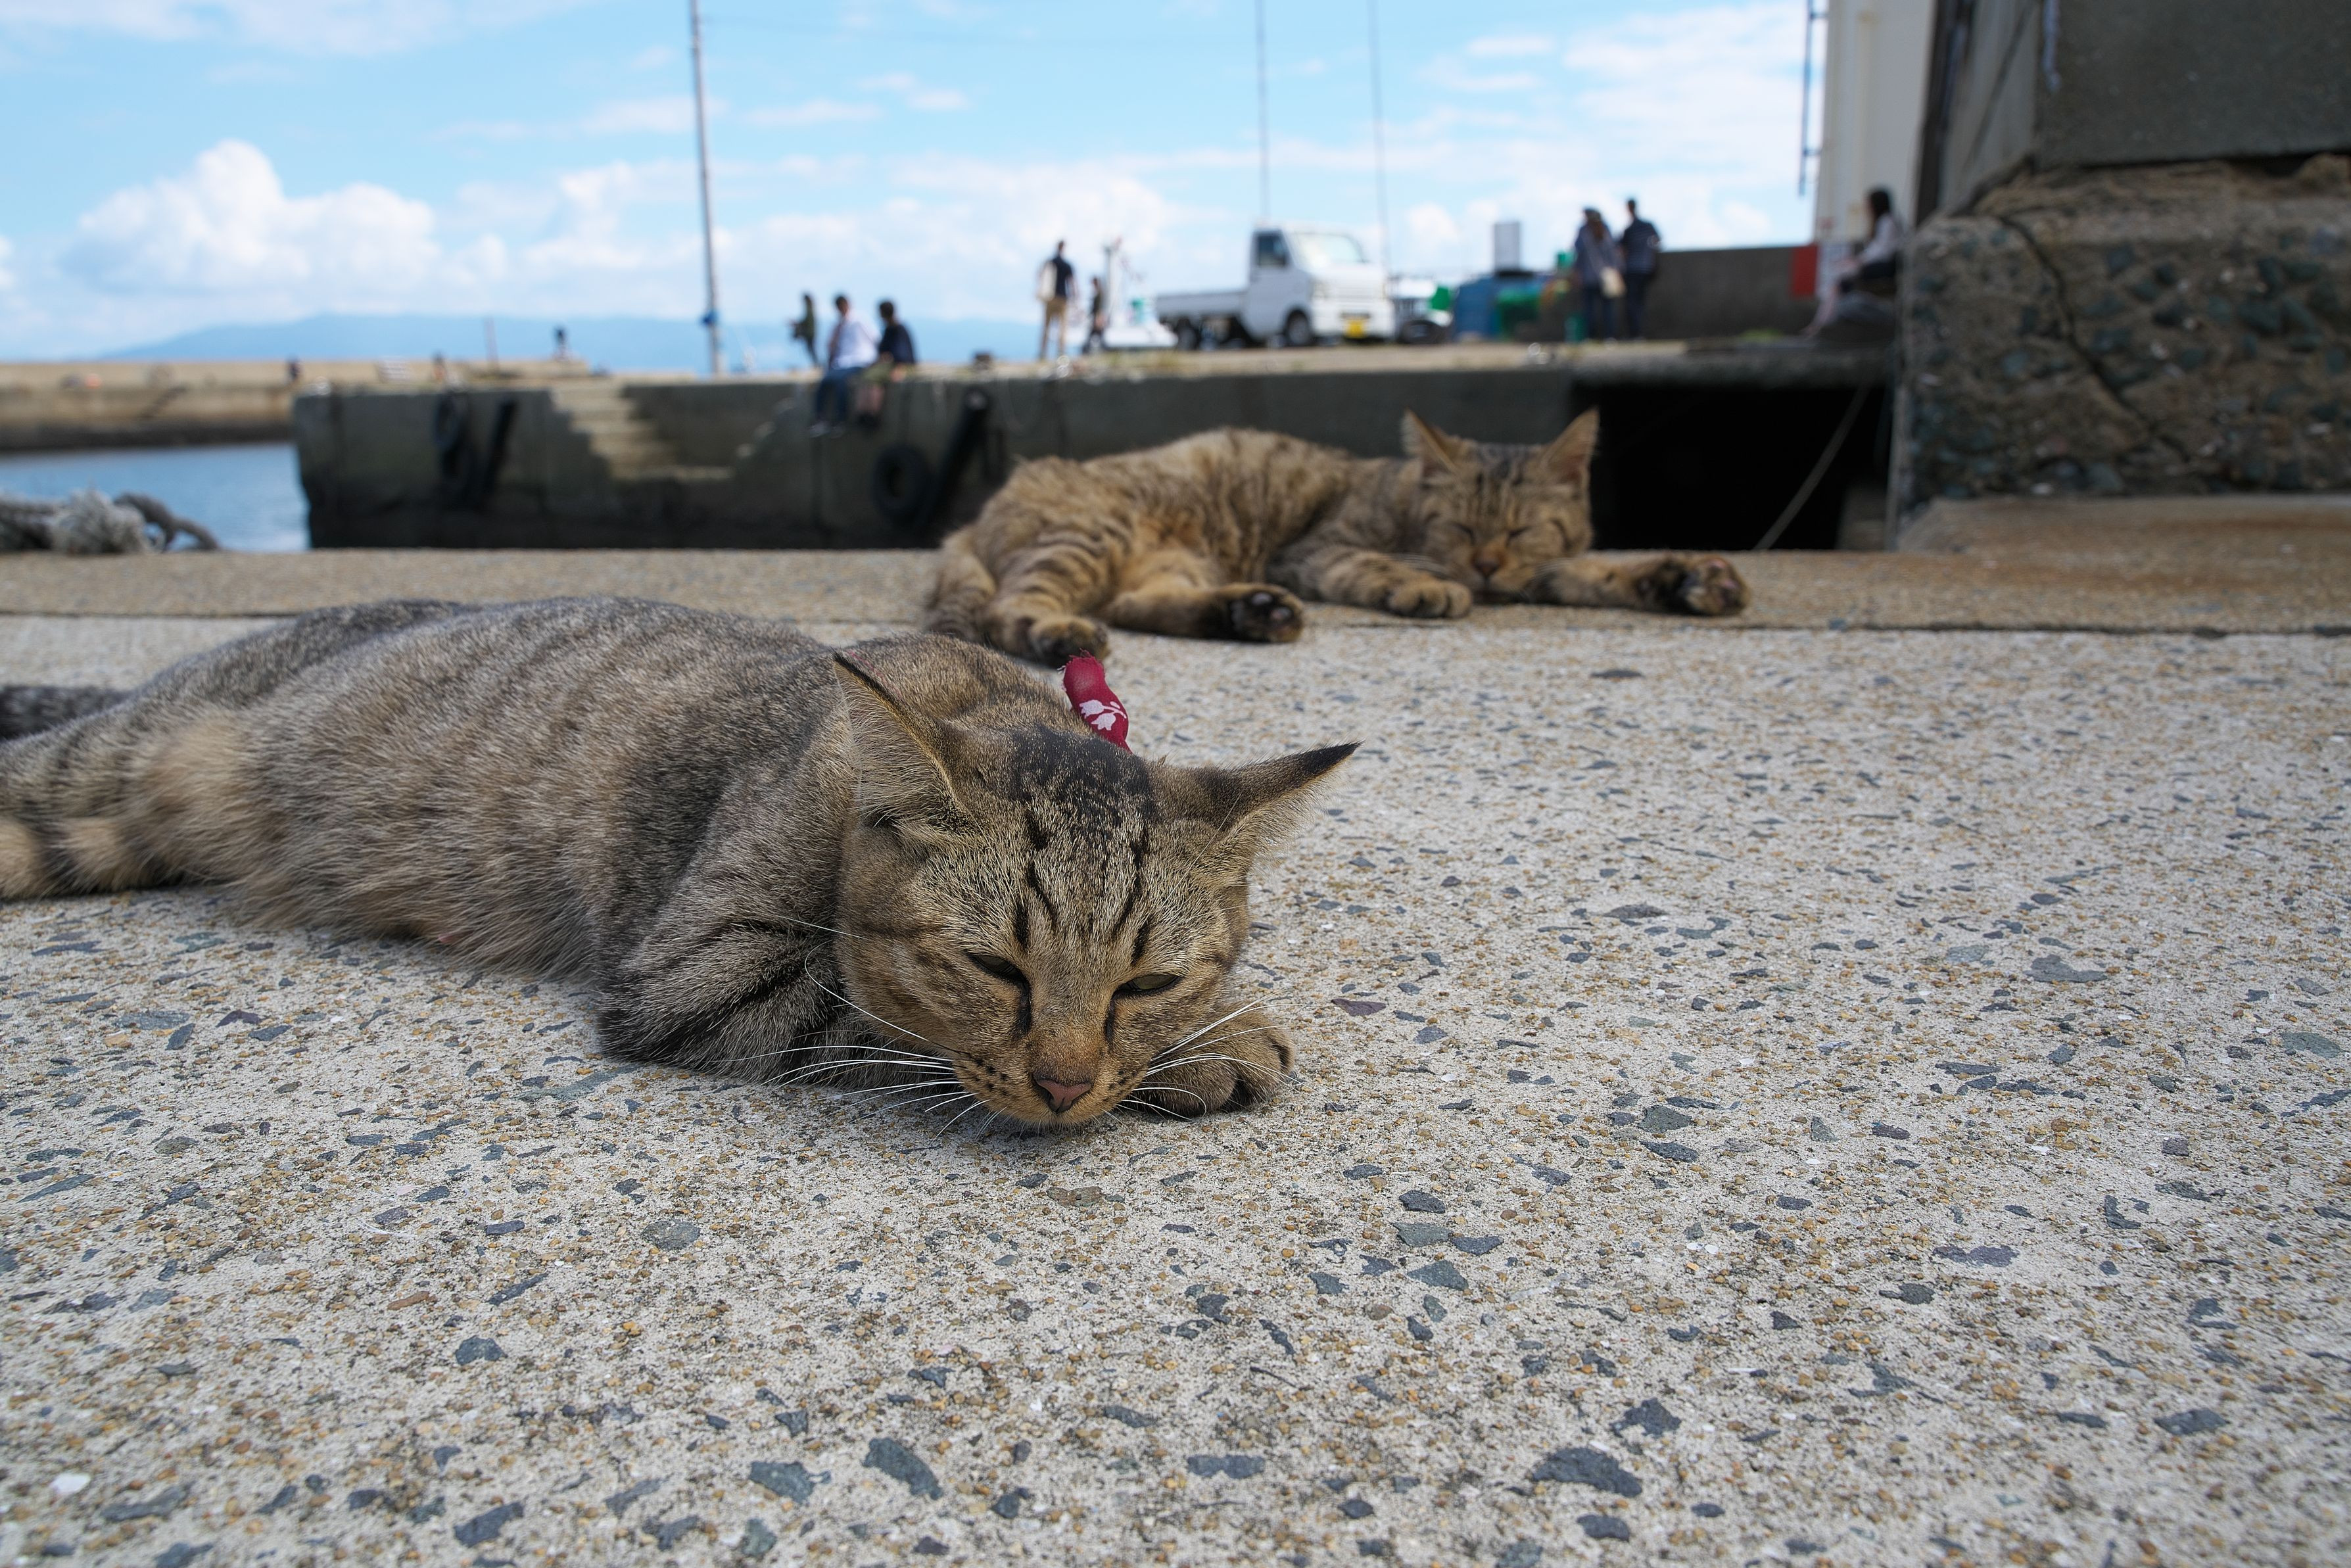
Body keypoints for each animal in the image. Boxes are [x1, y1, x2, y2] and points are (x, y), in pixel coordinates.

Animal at [0, 598, 1352, 1126]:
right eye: (994, 969)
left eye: (1144, 981)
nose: (1068, 1087)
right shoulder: (705, 972)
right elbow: (879, 1025)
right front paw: (1220, 1046)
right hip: (99, 764)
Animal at [924, 409, 1750, 663]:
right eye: (1459, 526)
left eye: (1519, 530)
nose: (1484, 565)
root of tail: (977, 511)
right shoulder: (1317, 549)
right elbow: (1375, 564)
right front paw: (1425, 585)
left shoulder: (1544, 569)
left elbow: (1598, 572)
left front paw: (1689, 579)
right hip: (1092, 535)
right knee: (1009, 610)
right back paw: (1058, 632)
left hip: (1178, 561)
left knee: (1136, 604)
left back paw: (1252, 612)